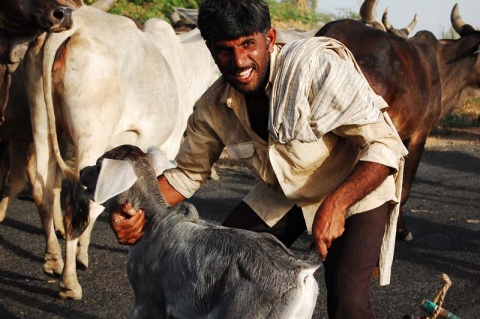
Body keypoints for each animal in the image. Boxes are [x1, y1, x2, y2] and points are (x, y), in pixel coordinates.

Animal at [25, 4, 220, 300]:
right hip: (91, 134)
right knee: (78, 203)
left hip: (42, 120)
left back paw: (53, 261)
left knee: (44, 190)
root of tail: (72, 25)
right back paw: (70, 283)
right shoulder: (168, 145)